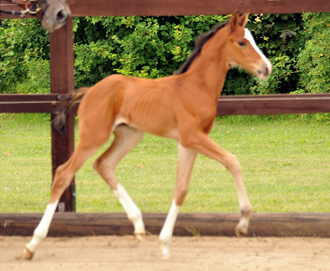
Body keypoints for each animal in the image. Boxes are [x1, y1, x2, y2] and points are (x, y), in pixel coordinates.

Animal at [23, 13, 270, 262]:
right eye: (242, 42)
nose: (266, 68)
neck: (195, 87)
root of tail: (89, 91)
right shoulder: (192, 137)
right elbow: (232, 161)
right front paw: (243, 223)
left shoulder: (188, 143)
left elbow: (181, 188)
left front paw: (165, 244)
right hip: (94, 136)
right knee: (64, 173)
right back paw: (32, 244)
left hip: (129, 136)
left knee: (104, 164)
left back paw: (139, 225)